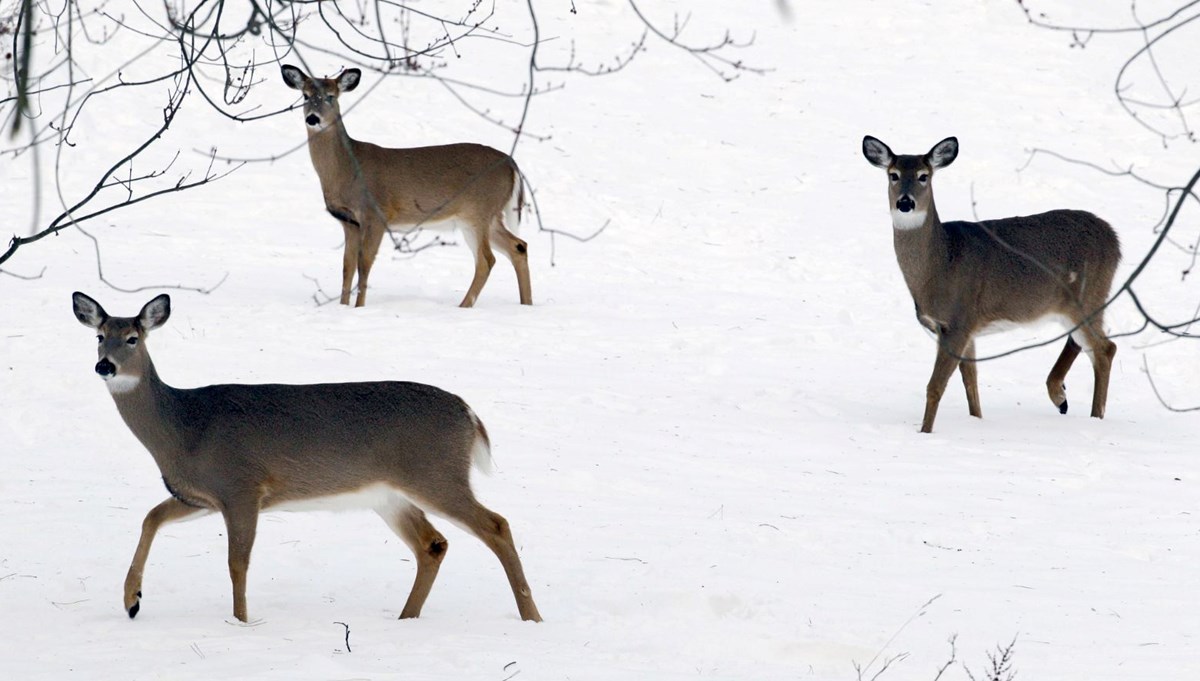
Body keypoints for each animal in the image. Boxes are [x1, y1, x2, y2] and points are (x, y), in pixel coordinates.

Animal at [70, 292, 544, 623]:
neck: (185, 428)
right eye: (99, 336)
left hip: (436, 473)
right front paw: (131, 600)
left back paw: (531, 617)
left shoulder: (242, 485)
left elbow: (237, 563)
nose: (105, 366)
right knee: (433, 544)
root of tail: (469, 414)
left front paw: (241, 622)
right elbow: (151, 517)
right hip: (390, 495)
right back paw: (406, 618)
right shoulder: (202, 496)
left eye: (133, 338)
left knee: (496, 525)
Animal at [283, 63, 532, 309]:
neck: (347, 169)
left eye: (331, 97)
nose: (313, 119)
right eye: (305, 96)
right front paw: (343, 307)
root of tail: (512, 164)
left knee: (486, 260)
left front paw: (359, 308)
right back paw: (526, 304)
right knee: (518, 246)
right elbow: (347, 266)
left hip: (477, 212)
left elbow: (364, 264)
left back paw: (463, 306)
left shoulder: (376, 214)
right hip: (489, 215)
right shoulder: (349, 222)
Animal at [864, 136, 1123, 434]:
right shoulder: (966, 328)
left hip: (1088, 295)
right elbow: (971, 381)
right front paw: (976, 420)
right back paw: (1061, 397)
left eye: (923, 176)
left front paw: (925, 432)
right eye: (893, 175)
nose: (905, 203)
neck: (941, 263)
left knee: (1105, 349)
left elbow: (935, 386)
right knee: (1085, 343)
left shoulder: (958, 320)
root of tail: (1115, 240)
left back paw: (1094, 416)